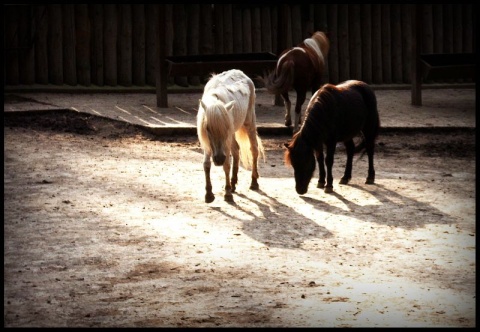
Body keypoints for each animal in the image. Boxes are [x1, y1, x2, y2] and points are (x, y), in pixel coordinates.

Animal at [198, 69, 266, 202]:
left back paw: (254, 182)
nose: (218, 159)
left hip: (249, 123)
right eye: (208, 128)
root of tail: (241, 73)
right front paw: (209, 194)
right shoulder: (207, 144)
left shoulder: (226, 140)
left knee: (254, 149)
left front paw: (227, 193)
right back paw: (233, 182)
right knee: (236, 151)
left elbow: (226, 165)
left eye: (225, 127)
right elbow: (206, 164)